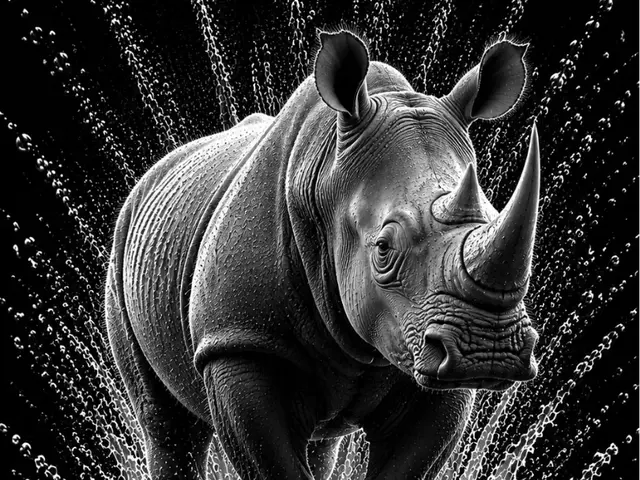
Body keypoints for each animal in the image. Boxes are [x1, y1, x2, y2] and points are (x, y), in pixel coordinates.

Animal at [105, 30, 540, 480]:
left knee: (320, 441)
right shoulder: (238, 340)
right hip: (122, 244)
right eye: (383, 249)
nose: (488, 350)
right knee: (167, 424)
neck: (325, 173)